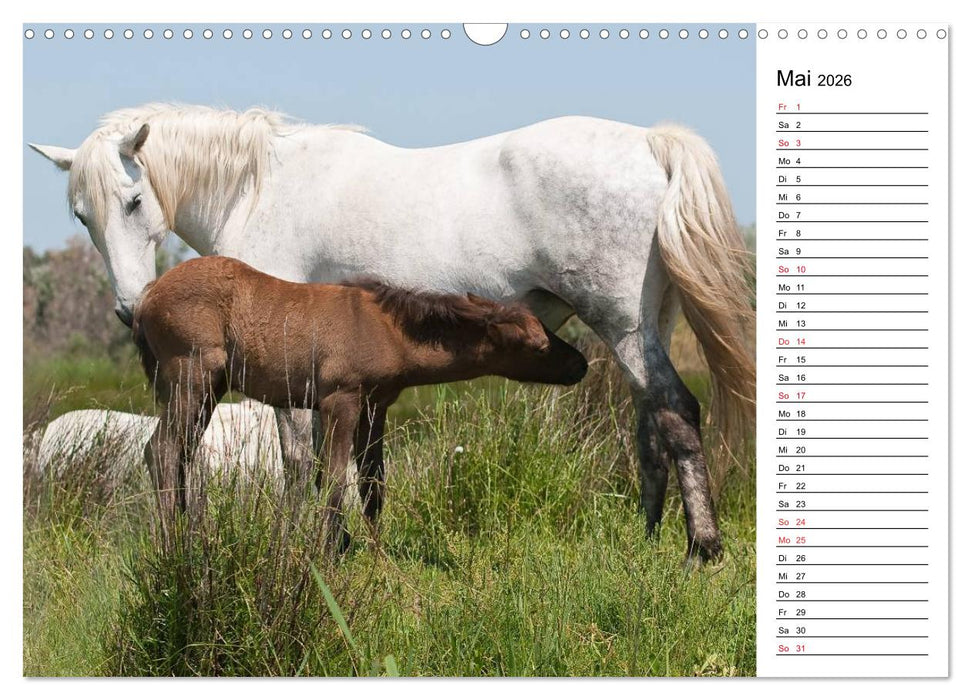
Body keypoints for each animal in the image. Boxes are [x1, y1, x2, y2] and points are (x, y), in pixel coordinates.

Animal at [132, 255, 588, 550]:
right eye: (538, 345)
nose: (580, 364)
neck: (388, 332)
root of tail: (146, 296)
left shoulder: (376, 407)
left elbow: (373, 485)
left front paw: (377, 556)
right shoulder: (341, 399)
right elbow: (335, 481)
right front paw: (326, 554)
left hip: (207, 389)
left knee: (181, 454)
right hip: (191, 376)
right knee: (161, 449)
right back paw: (173, 547)